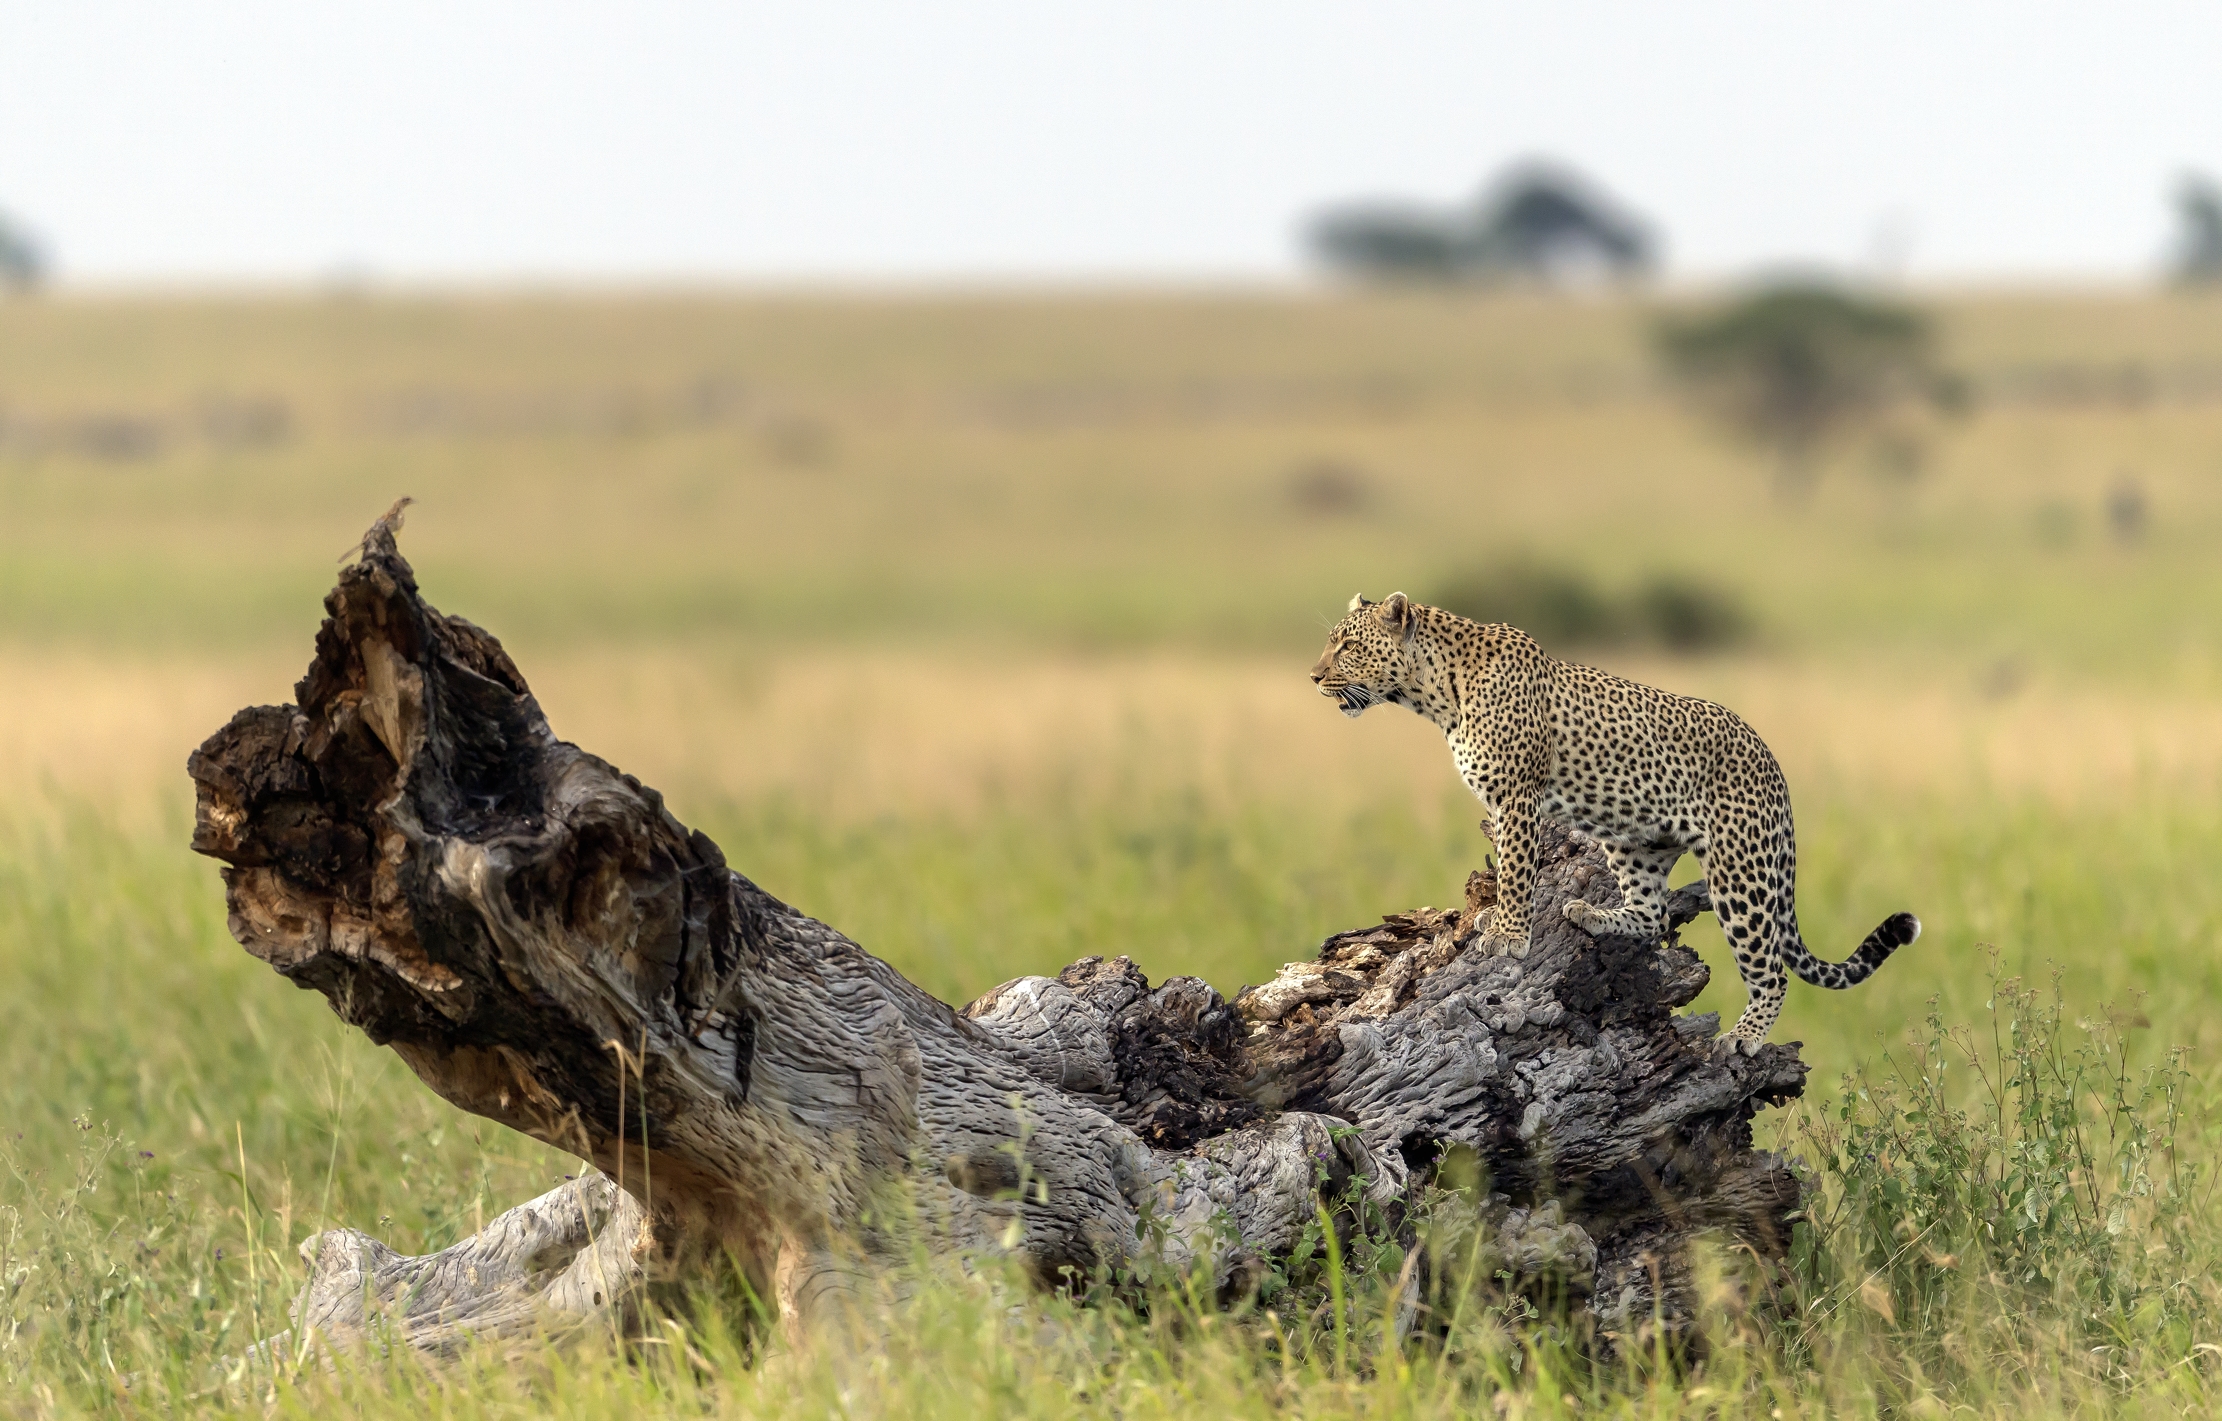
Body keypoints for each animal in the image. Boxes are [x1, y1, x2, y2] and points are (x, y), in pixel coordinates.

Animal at [1310, 591, 1919, 1055]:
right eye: (1332, 642)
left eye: (1349, 646)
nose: (1314, 676)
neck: (1434, 693)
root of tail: (1772, 759)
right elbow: (1508, 870)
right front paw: (1504, 924)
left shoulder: (1517, 798)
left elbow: (1515, 871)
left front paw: (1508, 936)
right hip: (1637, 841)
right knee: (1652, 915)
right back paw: (1597, 916)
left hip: (1739, 870)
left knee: (1770, 969)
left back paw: (1743, 1037)